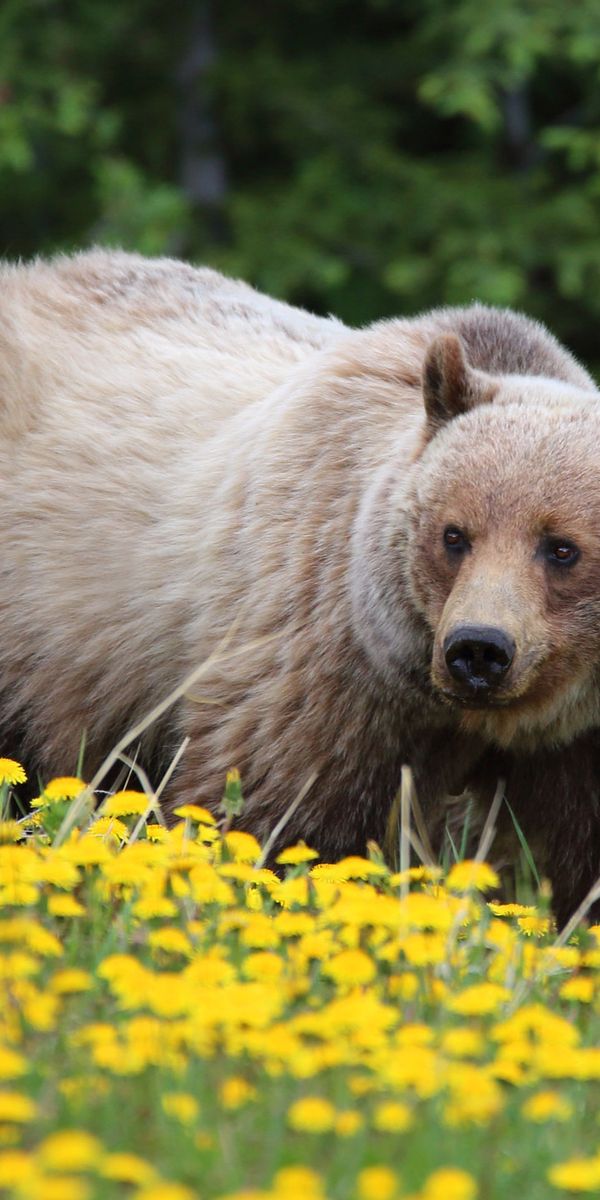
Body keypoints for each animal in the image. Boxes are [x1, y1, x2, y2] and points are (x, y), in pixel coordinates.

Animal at [1, 250, 600, 926]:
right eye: (454, 535)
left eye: (561, 547)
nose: (478, 650)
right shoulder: (325, 667)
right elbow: (270, 813)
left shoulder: (574, 751)